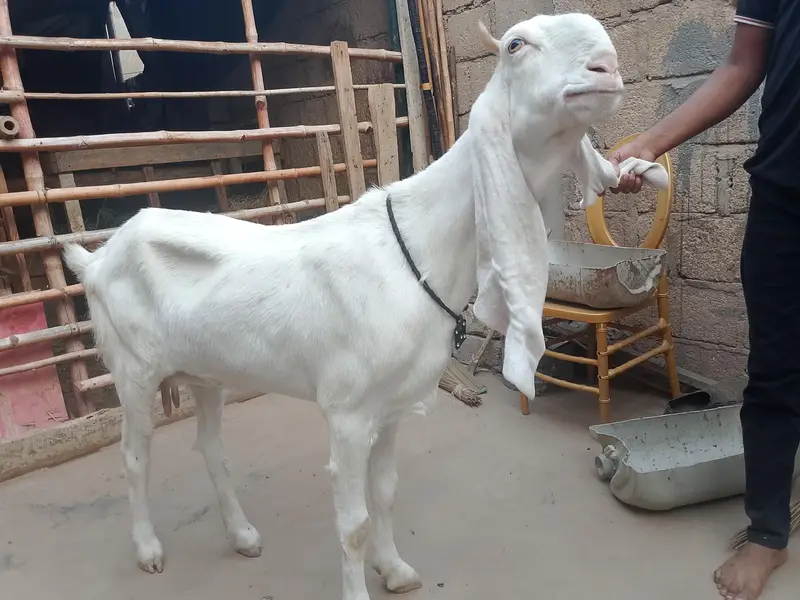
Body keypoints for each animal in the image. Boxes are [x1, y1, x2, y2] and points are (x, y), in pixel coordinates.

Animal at [63, 13, 666, 600]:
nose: (606, 67)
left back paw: (243, 536)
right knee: (134, 456)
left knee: (210, 448)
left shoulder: (392, 405)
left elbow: (386, 492)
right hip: (134, 370)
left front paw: (394, 569)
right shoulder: (348, 413)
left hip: (206, 372)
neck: (416, 246)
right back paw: (149, 550)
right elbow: (352, 521)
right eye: (515, 45)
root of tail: (97, 259)